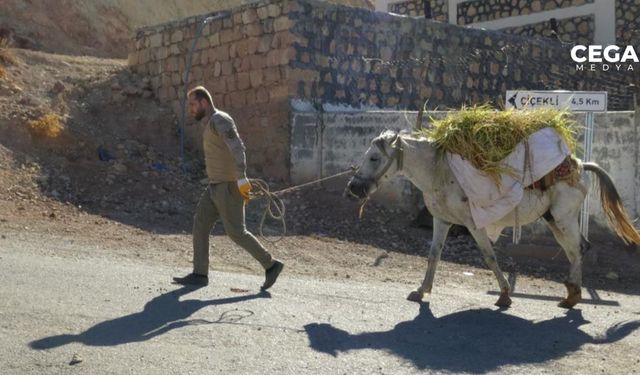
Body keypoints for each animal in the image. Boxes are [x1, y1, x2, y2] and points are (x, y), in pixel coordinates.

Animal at [344, 129, 640, 308]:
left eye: (374, 157)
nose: (353, 188)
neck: (440, 171)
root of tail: (579, 166)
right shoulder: (442, 221)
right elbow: (433, 256)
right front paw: (421, 290)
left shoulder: (474, 224)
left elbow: (489, 256)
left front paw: (505, 295)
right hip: (555, 220)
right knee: (577, 249)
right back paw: (571, 294)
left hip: (563, 218)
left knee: (577, 249)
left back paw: (572, 298)